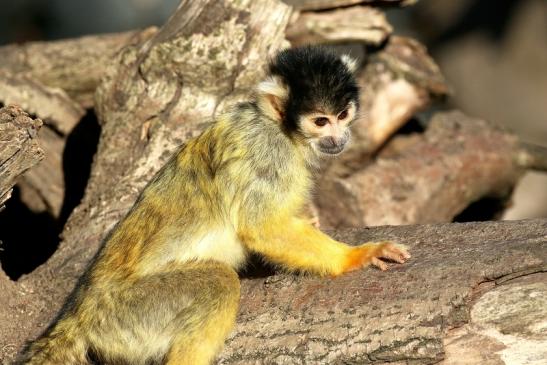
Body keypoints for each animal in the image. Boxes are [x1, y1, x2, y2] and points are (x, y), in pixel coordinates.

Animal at [23, 45, 412, 364]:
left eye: (342, 115)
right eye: (320, 121)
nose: (337, 137)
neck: (283, 131)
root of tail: (78, 314)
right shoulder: (269, 153)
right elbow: (261, 227)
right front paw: (355, 256)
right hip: (125, 311)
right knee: (218, 281)